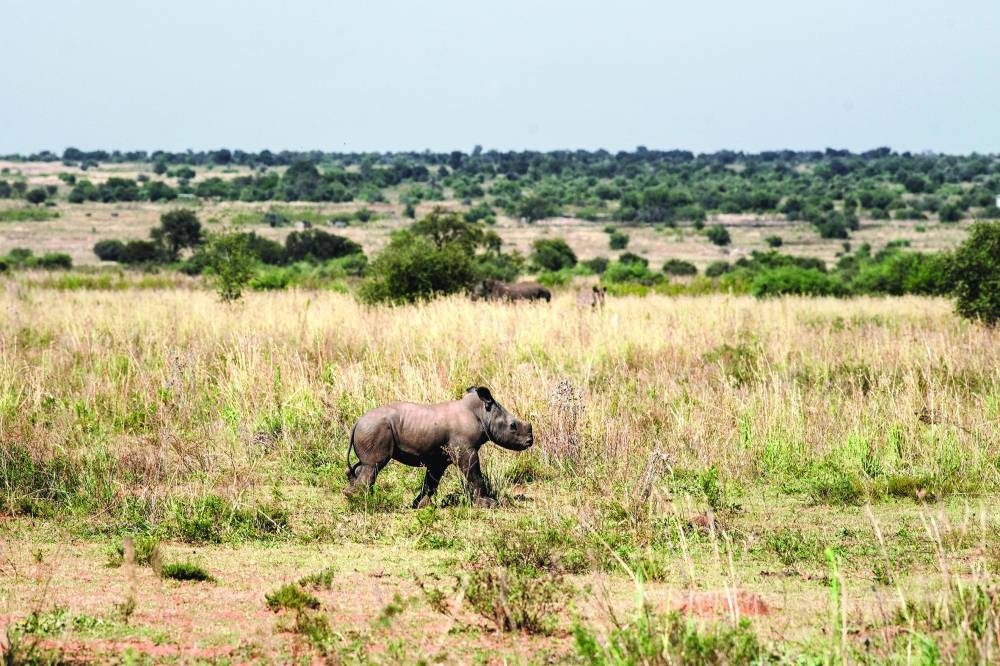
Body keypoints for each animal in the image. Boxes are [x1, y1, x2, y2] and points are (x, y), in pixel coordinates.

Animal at [344, 387, 533, 508]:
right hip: (375, 428)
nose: (530, 441)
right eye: (513, 426)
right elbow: (474, 474)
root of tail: (357, 422)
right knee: (373, 466)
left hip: (372, 428)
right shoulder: (466, 450)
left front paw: (421, 506)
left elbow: (431, 481)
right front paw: (489, 505)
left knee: (364, 466)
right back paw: (363, 502)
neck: (481, 413)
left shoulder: (439, 458)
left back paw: (357, 497)